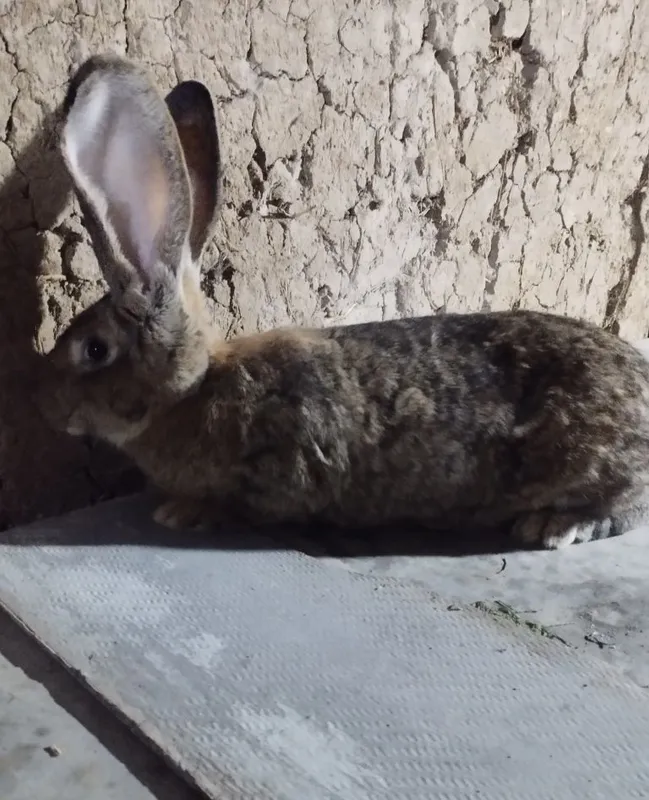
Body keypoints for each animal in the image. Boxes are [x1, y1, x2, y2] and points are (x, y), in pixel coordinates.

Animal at [38, 53, 649, 550]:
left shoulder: (284, 465)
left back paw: (556, 525)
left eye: (94, 350)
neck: (195, 388)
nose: (52, 407)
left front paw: (183, 513)